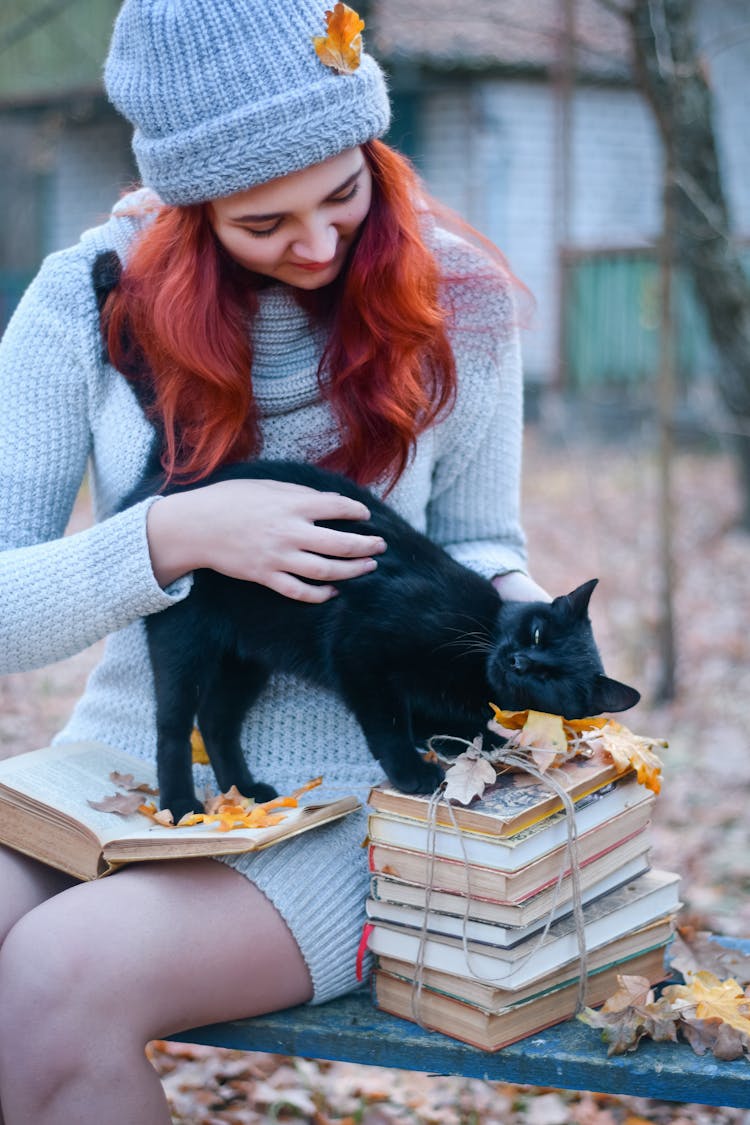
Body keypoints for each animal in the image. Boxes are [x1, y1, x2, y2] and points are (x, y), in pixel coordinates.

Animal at [123, 456, 638, 819]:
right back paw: (180, 806)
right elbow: (389, 722)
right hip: (185, 643)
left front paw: (479, 746)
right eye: (535, 633)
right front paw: (411, 773)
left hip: (248, 658)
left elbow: (450, 728)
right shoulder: (359, 647)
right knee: (173, 726)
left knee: (216, 721)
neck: (472, 675)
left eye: (551, 680)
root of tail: (170, 486)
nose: (518, 662)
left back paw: (246, 792)